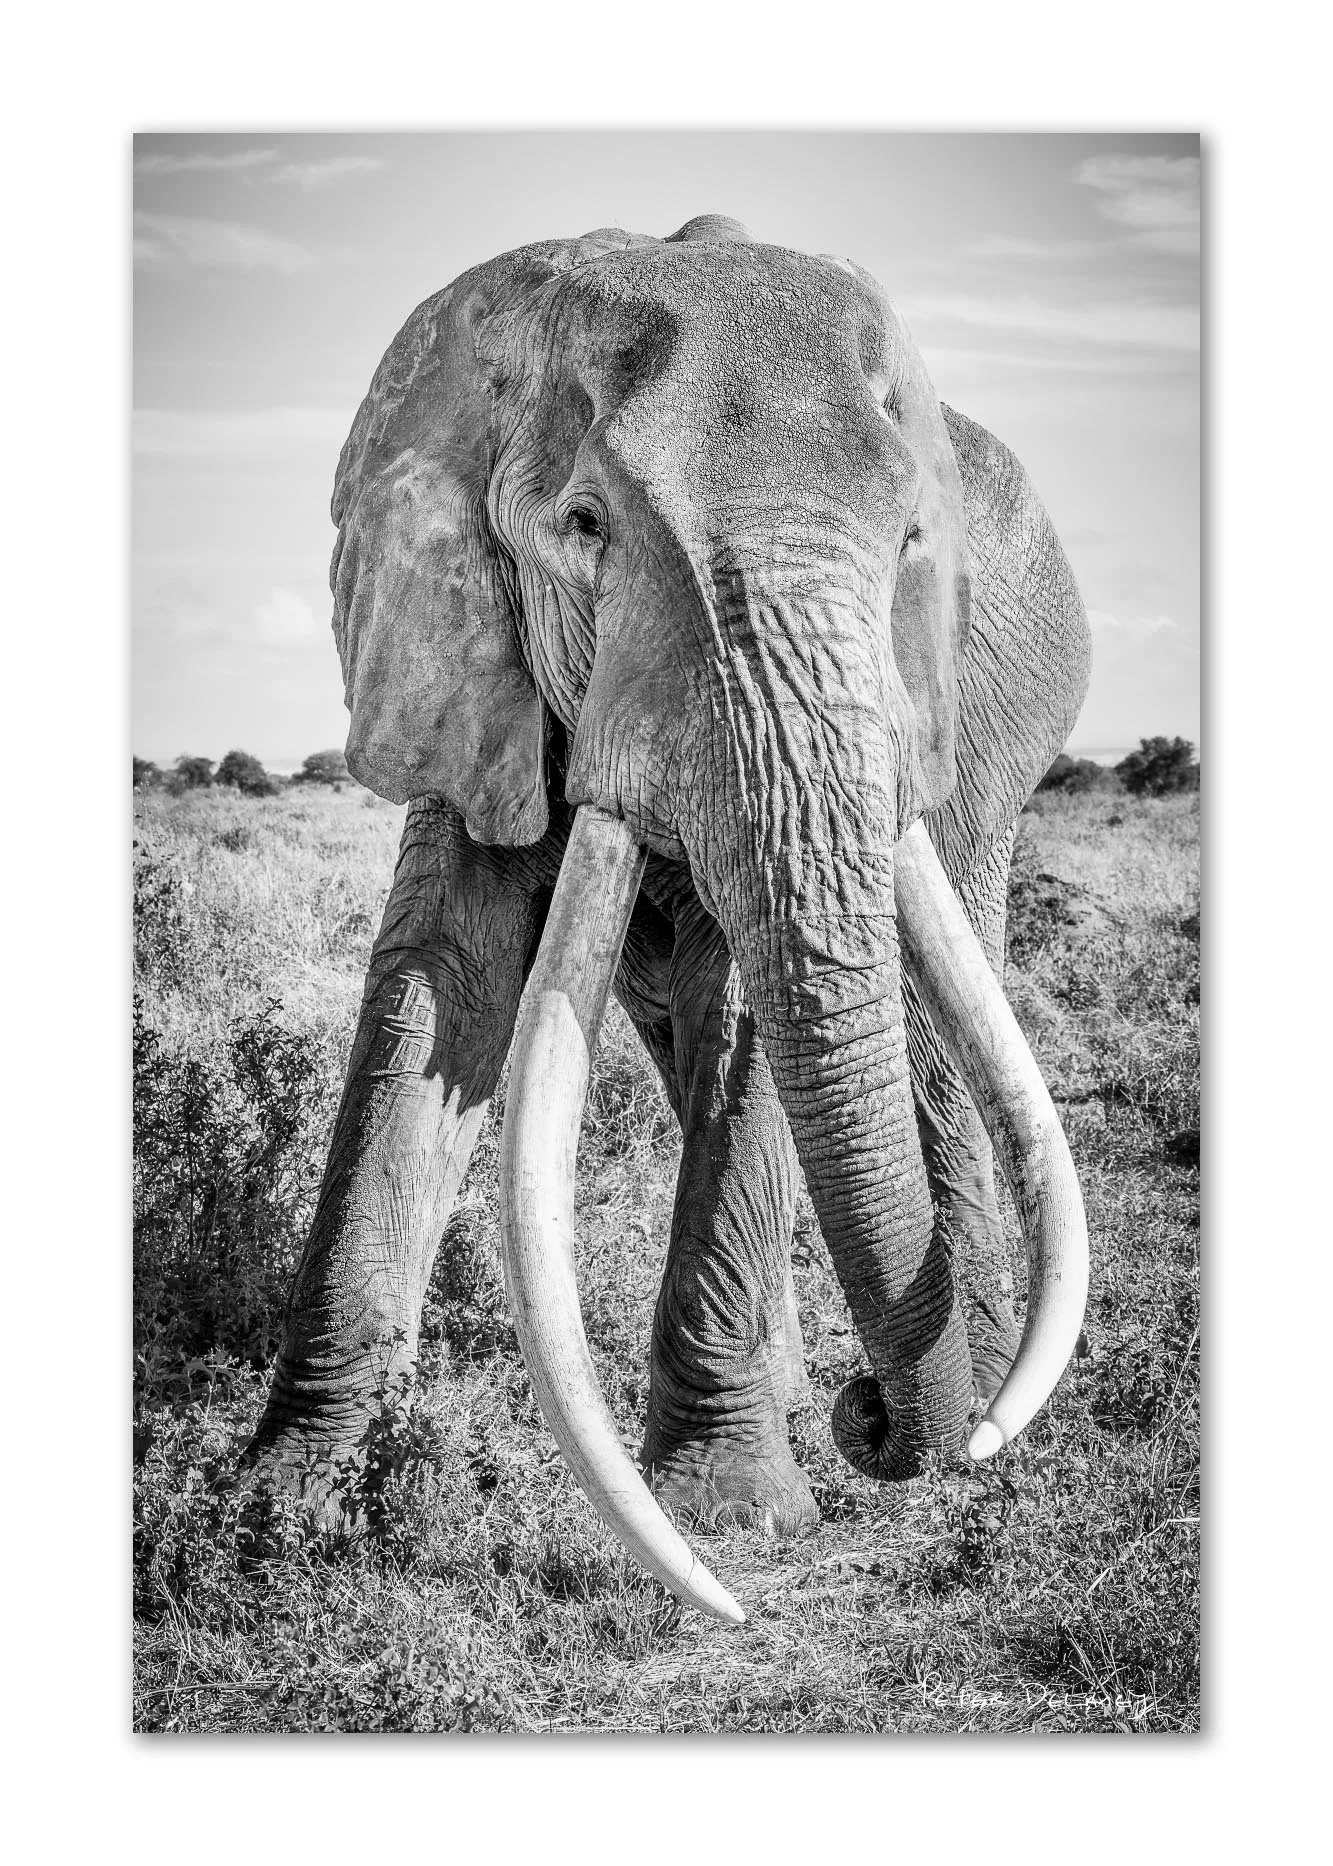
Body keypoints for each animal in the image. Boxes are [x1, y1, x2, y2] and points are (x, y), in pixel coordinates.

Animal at [244, 214, 1091, 1623]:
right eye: (583, 526)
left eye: (912, 541)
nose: (875, 1416)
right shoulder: (477, 662)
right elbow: (441, 986)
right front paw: (278, 1516)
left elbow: (746, 1010)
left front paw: (727, 1511)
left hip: (992, 745)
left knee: (924, 1027)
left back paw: (961, 1417)